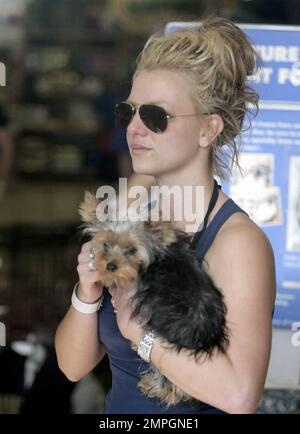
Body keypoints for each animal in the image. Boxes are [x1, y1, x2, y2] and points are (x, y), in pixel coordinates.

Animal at [78, 192, 229, 406]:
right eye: (105, 244)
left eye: (131, 250)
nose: (111, 266)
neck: (155, 257)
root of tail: (205, 337)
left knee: (175, 386)